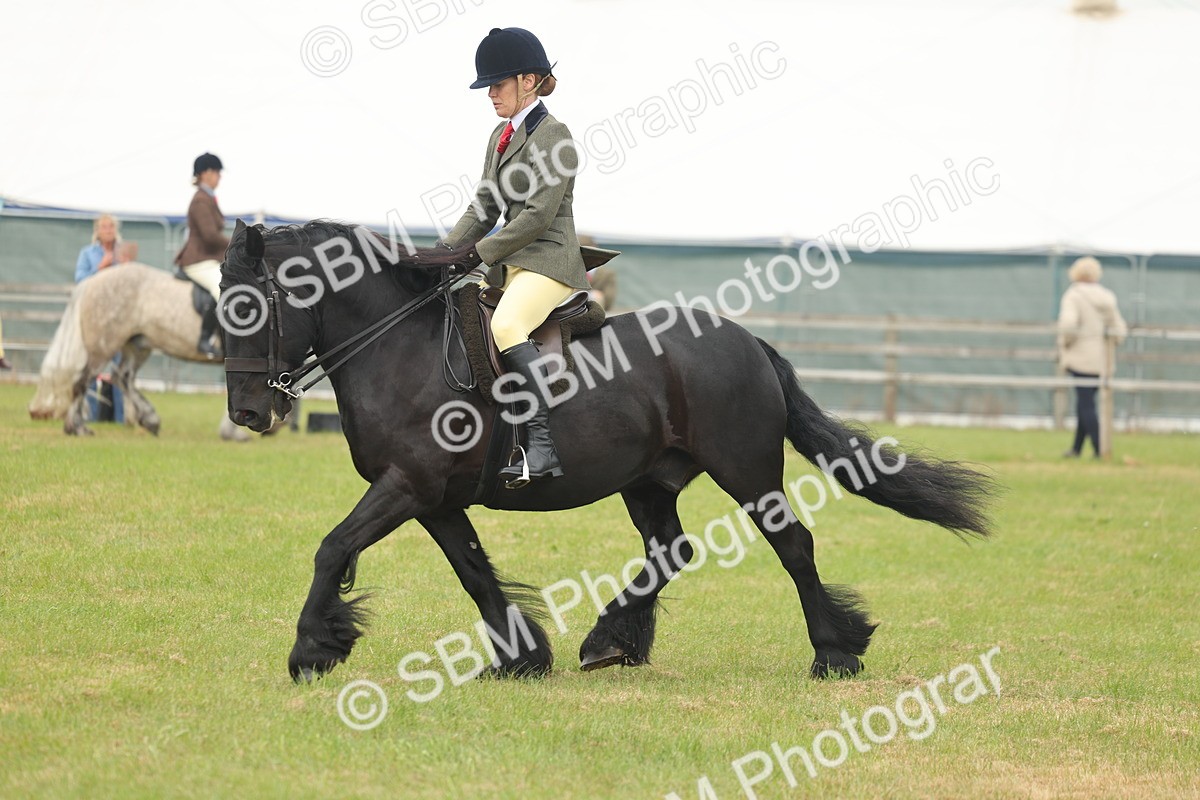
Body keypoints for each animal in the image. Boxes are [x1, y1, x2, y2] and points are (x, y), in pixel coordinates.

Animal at [28, 262, 265, 438]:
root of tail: (91, 282)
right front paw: (236, 431)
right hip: (105, 345)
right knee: (83, 381)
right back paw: (78, 428)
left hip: (137, 345)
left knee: (122, 377)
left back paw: (149, 420)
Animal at [221, 220, 995, 683]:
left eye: (247, 307)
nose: (249, 413)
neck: (398, 348)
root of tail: (746, 340)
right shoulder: (431, 498)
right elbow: (474, 573)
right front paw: (523, 659)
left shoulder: (406, 484)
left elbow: (333, 547)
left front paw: (309, 650)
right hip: (650, 480)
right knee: (671, 550)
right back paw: (613, 642)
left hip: (747, 471)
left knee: (793, 546)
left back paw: (834, 652)